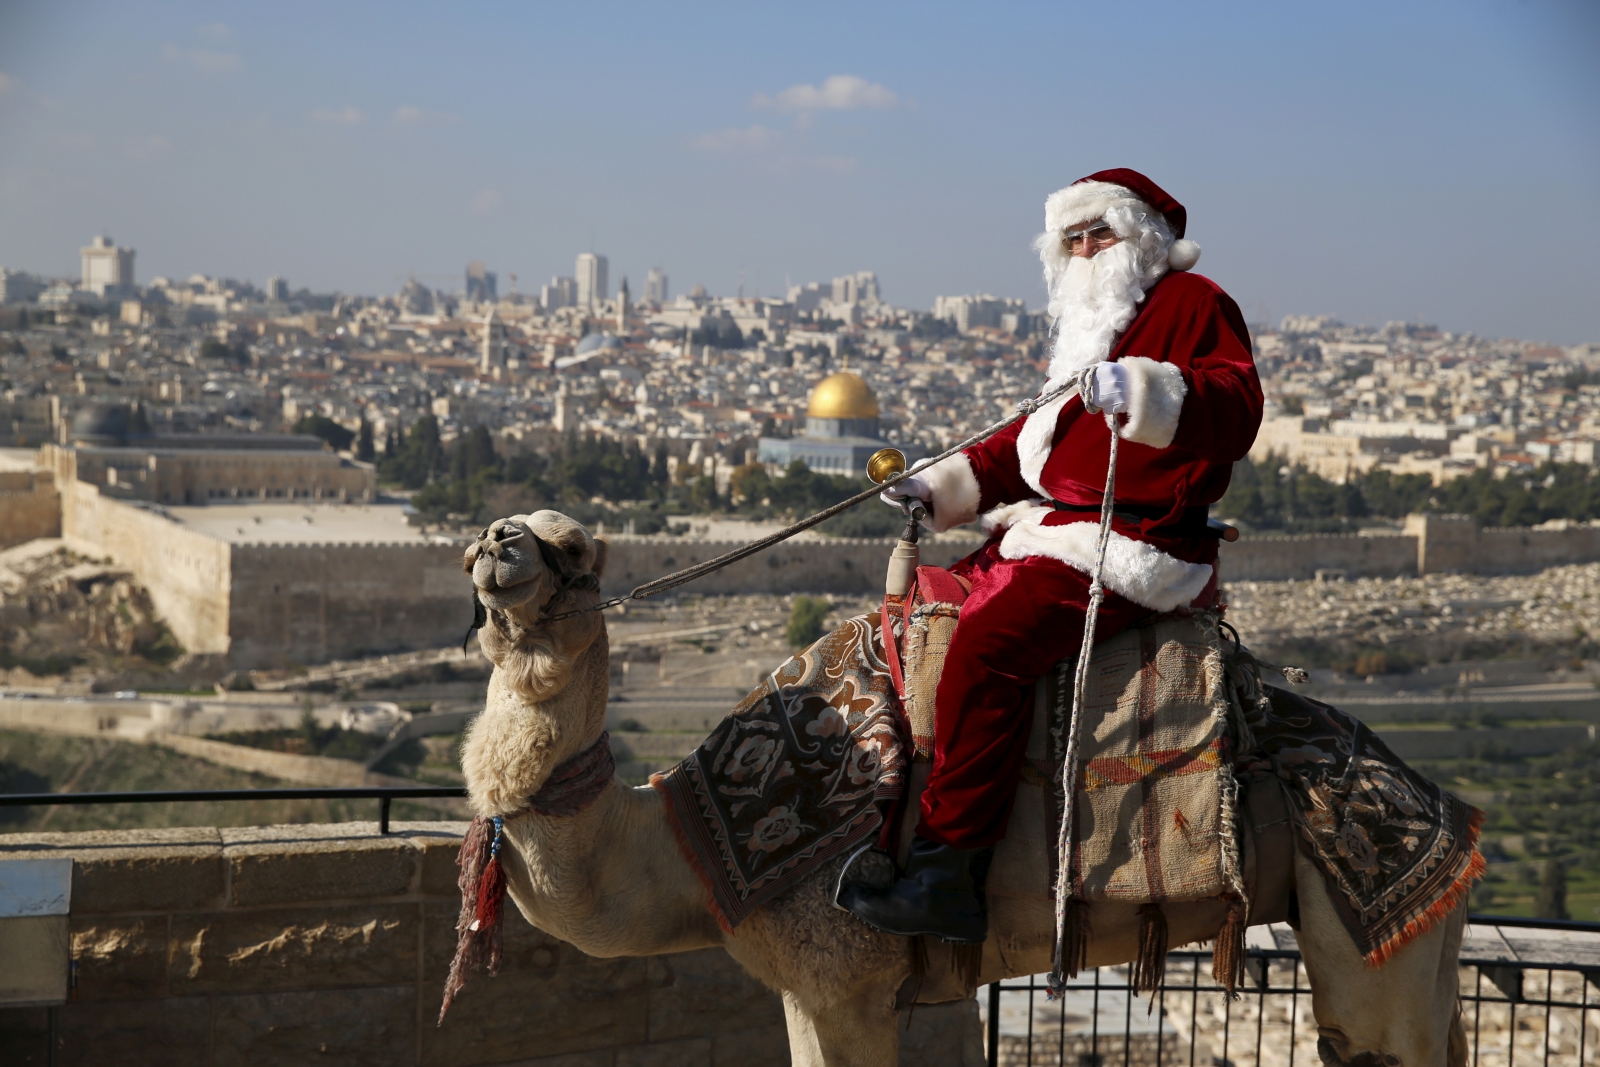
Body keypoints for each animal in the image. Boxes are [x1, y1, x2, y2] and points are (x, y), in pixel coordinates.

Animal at [457, 511, 1465, 1062]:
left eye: (575, 547)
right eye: (490, 533)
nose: (498, 543)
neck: (696, 847)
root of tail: (1440, 807)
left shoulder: (844, 977)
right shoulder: (833, 990)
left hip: (1365, 915)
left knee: (1376, 1038)